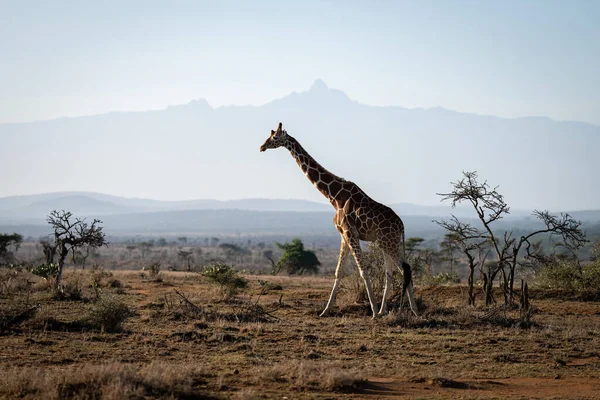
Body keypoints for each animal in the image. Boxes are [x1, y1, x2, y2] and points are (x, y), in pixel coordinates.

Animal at [260, 122, 420, 318]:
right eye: (270, 135)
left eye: (274, 137)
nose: (262, 147)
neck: (334, 196)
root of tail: (402, 225)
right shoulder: (343, 235)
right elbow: (338, 272)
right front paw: (325, 310)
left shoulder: (350, 233)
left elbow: (363, 270)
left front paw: (373, 312)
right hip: (386, 242)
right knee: (391, 273)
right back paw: (385, 310)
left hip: (388, 242)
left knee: (405, 268)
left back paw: (412, 310)